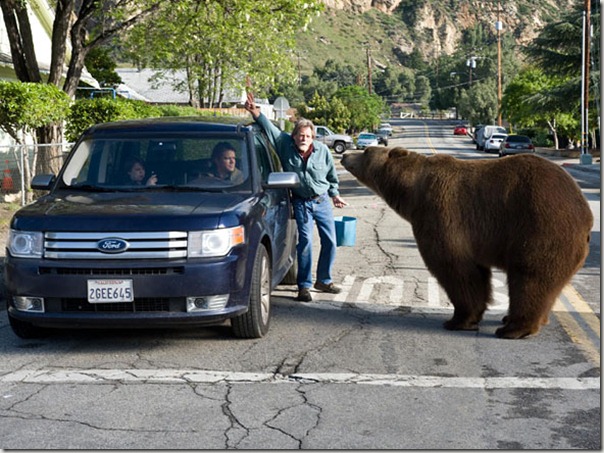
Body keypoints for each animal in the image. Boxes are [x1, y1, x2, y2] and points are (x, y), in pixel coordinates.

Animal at [342, 147, 592, 338]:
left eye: (366, 150)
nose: (345, 154)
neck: (412, 192)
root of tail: (586, 214)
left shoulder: (443, 213)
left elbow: (455, 268)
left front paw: (458, 320)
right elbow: (476, 273)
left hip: (541, 228)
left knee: (530, 277)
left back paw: (513, 328)